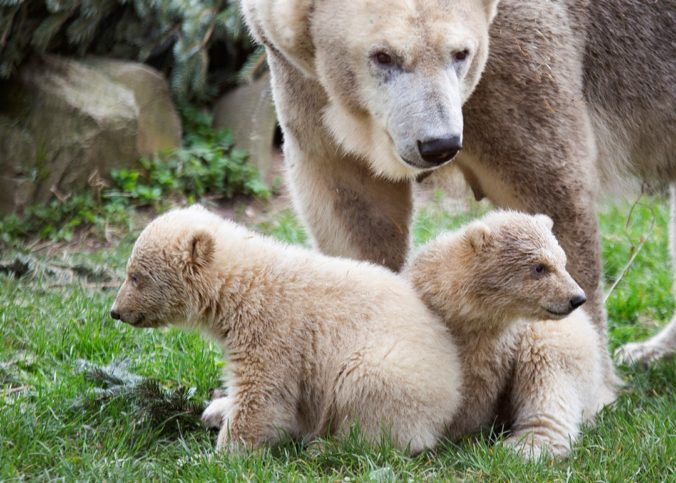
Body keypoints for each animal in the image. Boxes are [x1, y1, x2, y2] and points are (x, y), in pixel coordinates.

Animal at [243, 0, 676, 386]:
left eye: (460, 54)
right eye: (383, 56)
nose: (439, 144)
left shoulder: (517, 56)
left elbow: (549, 188)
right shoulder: (300, 76)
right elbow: (355, 208)